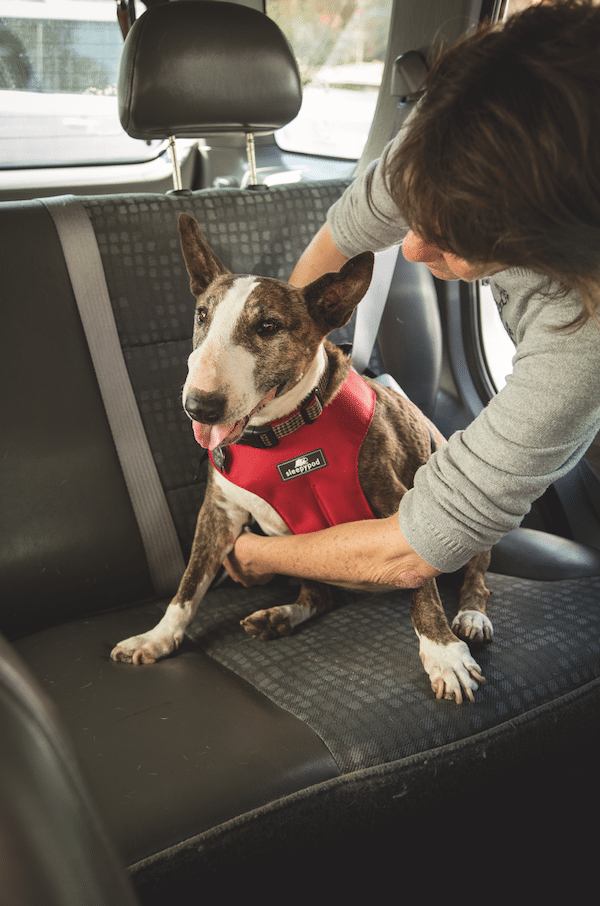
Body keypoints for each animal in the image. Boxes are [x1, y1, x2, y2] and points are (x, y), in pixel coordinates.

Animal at [109, 214, 492, 708]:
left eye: (269, 326)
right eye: (201, 315)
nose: (200, 407)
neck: (282, 435)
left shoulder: (396, 500)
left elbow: (420, 585)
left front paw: (443, 653)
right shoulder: (218, 512)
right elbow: (189, 583)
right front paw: (157, 638)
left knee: (476, 575)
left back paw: (471, 617)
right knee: (319, 595)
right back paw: (282, 616)